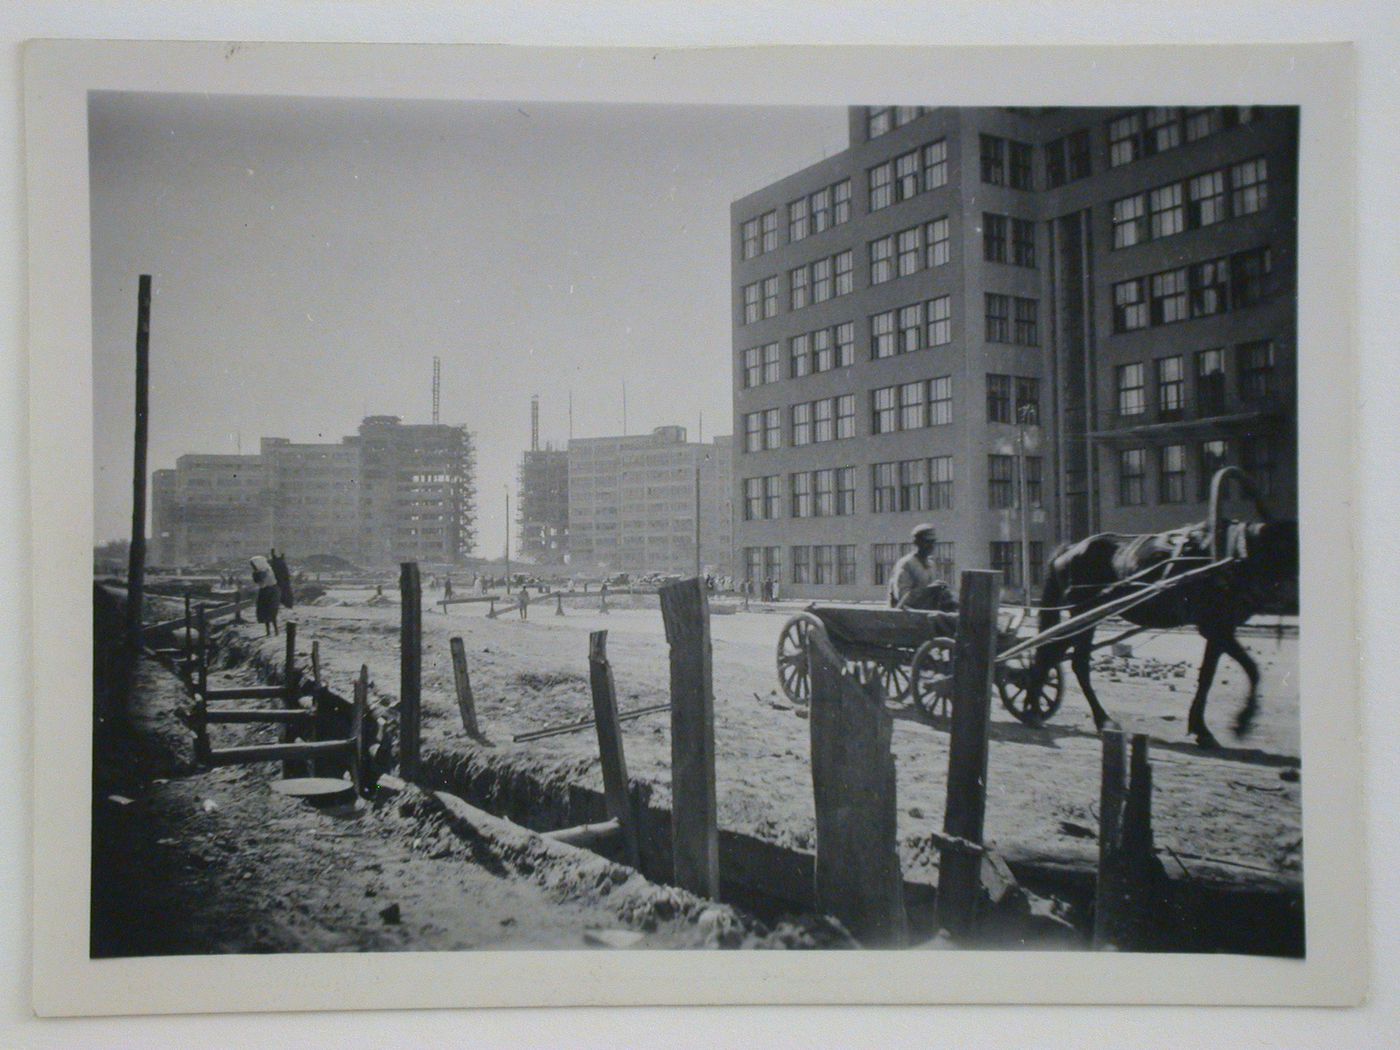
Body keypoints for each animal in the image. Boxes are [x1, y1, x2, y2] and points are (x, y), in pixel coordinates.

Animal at [1019, 515, 1299, 750]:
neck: (1236, 553)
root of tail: (1069, 550)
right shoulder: (1215, 627)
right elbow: (1251, 669)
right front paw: (1241, 721)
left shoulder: (1220, 629)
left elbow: (1209, 677)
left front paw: (1202, 728)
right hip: (1083, 613)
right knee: (1060, 656)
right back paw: (1045, 710)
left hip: (1087, 616)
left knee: (1060, 655)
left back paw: (1049, 708)